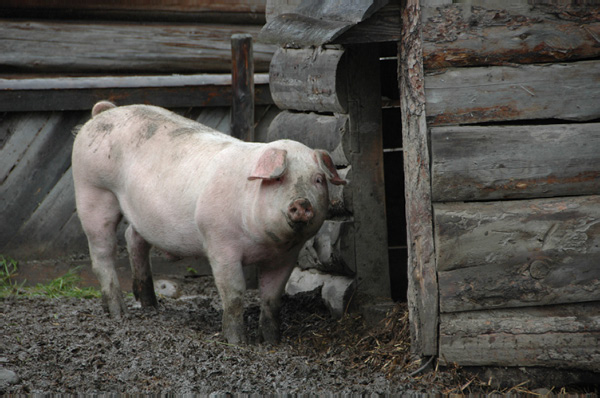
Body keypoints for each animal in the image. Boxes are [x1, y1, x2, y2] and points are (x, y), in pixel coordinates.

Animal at [71, 101, 346, 344]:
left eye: (318, 180)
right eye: (279, 179)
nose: (302, 203)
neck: (264, 243)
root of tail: (104, 112)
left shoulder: (285, 256)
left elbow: (272, 297)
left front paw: (272, 342)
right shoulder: (220, 244)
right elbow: (234, 292)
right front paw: (237, 342)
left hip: (140, 213)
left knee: (133, 238)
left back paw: (150, 304)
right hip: (93, 192)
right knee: (102, 253)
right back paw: (119, 313)